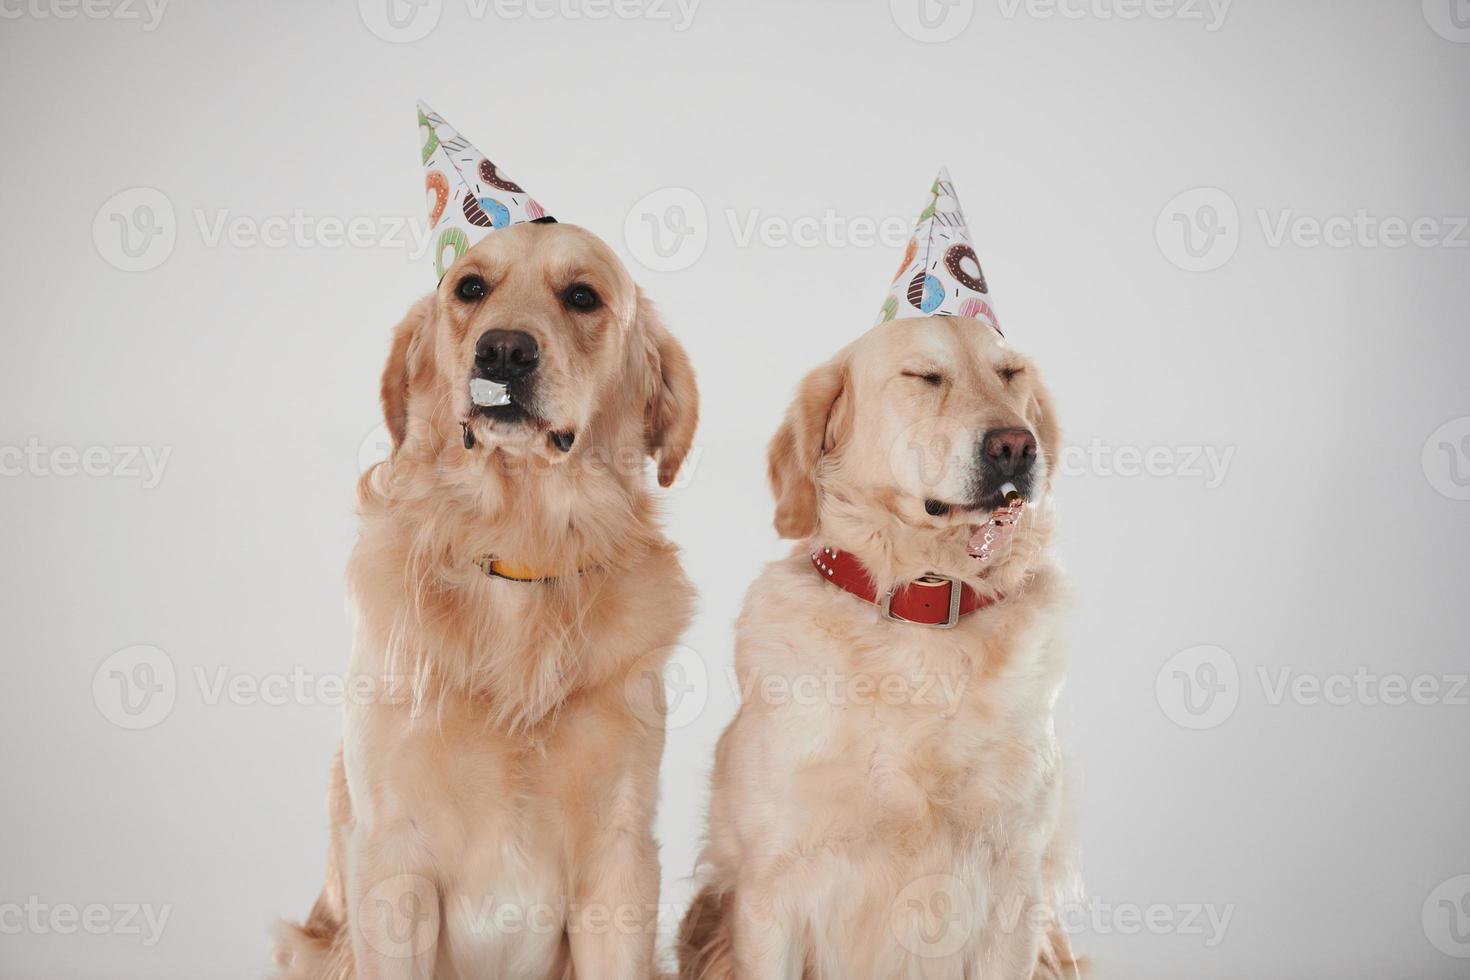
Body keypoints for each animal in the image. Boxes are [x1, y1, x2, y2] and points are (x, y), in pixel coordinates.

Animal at [274, 220, 699, 980]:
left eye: (582, 296)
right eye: (470, 287)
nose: (503, 350)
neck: (516, 553)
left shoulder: (618, 859)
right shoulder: (392, 855)